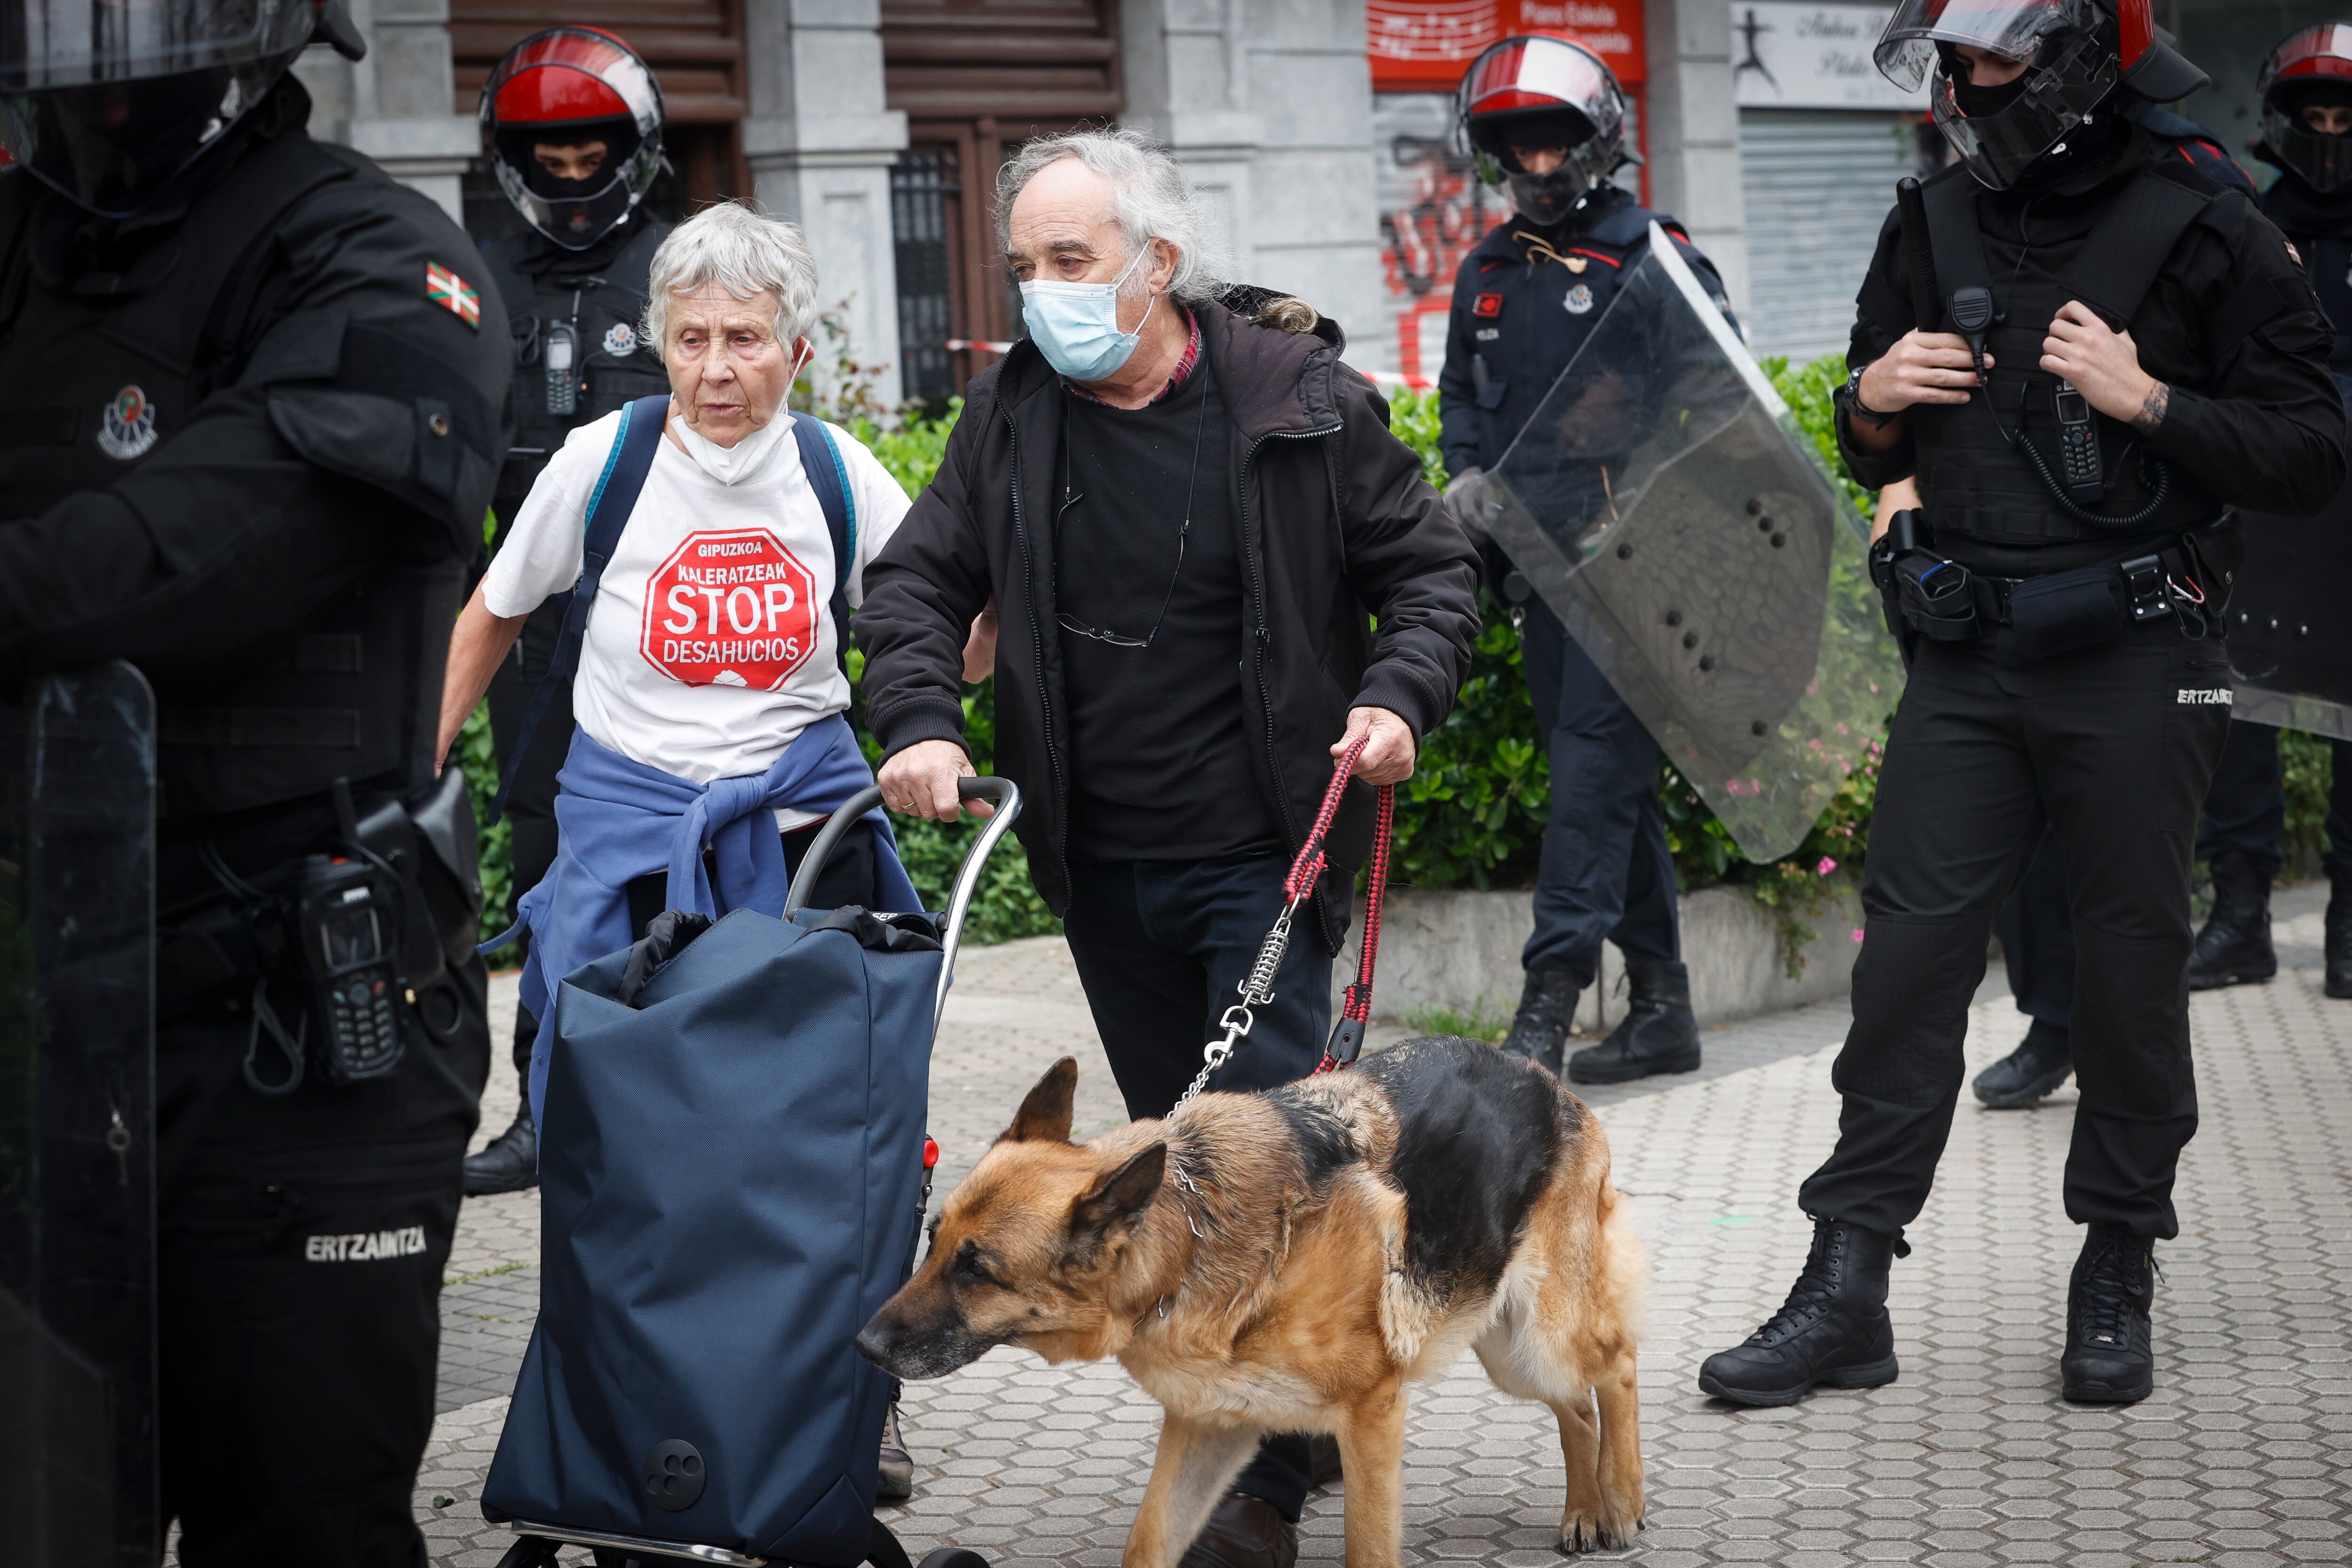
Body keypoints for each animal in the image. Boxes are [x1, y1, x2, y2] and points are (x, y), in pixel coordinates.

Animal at [856, 1034, 1646, 1561]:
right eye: (933, 1242)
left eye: (977, 1271)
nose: (861, 1345)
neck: (1187, 1244)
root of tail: (1541, 1075)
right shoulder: (1209, 1424)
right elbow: (1149, 1538)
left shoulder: (1372, 1417)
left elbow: (1368, 1548)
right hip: (1505, 1346)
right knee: (1577, 1405)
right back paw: (1584, 1509)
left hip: (1543, 1336)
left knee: (1617, 1363)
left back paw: (1623, 1495)